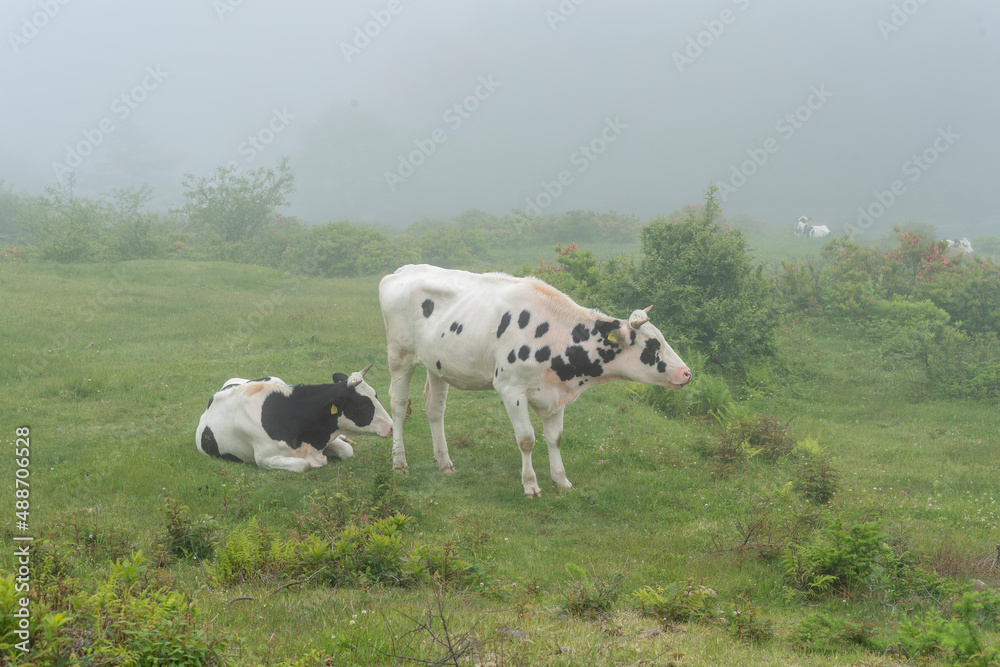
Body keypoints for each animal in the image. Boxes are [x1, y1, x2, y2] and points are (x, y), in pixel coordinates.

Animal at [196, 368, 394, 472]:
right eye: (363, 404)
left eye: (376, 395)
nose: (392, 427)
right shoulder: (264, 458)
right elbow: (304, 465)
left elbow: (347, 450)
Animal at [378, 264, 692, 498]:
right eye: (653, 345)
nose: (686, 373)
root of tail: (401, 271)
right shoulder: (510, 390)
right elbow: (527, 439)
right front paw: (530, 484)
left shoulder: (557, 395)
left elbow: (555, 438)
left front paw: (561, 479)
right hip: (400, 356)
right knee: (398, 405)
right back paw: (399, 462)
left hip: (438, 364)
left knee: (435, 408)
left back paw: (444, 462)